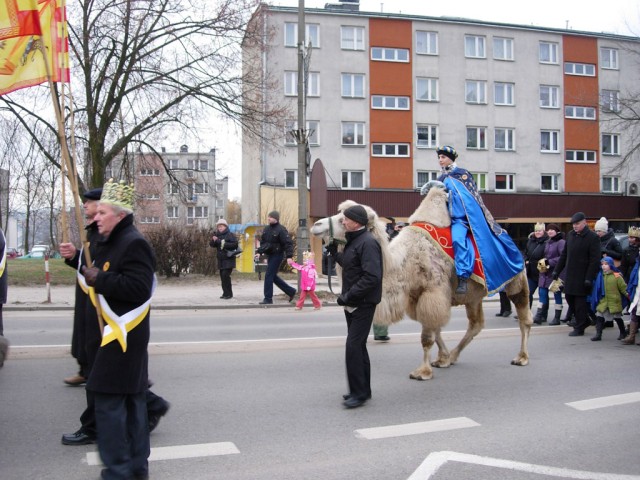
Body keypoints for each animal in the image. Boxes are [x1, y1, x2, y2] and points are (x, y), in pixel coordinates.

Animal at [312, 182, 532, 380]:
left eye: (344, 219)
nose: (316, 225)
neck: (405, 260)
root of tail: (513, 242)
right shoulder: (416, 296)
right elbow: (436, 330)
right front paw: (443, 359)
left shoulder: (432, 292)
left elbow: (428, 337)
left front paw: (423, 372)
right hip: (474, 295)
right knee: (476, 324)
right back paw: (455, 355)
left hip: (517, 280)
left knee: (524, 317)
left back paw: (522, 357)